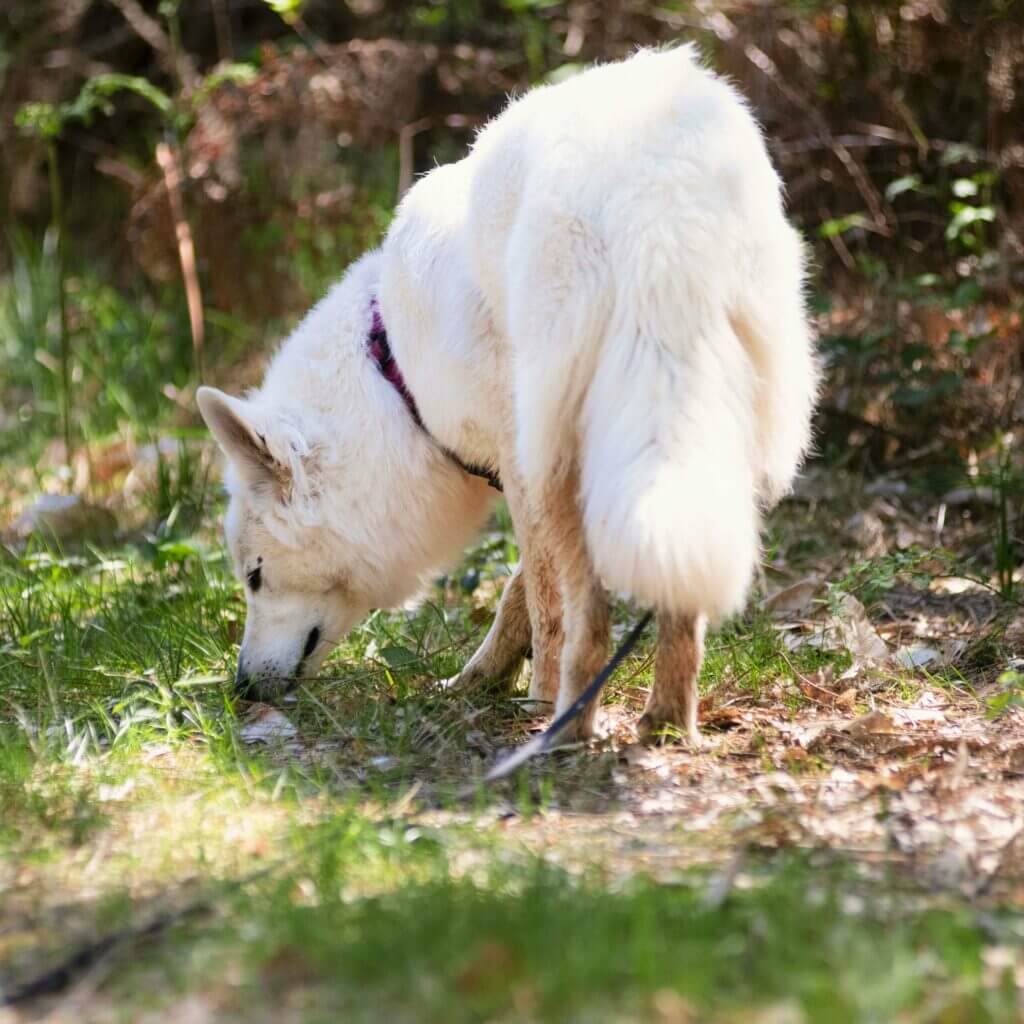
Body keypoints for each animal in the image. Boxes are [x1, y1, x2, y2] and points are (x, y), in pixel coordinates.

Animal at [197, 46, 815, 745]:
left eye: (254, 576)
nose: (242, 689)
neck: (392, 367)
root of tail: (658, 197)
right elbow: (522, 591)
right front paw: (481, 679)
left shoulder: (523, 463)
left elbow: (543, 598)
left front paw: (527, 691)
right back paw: (664, 725)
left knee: (587, 618)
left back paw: (564, 721)